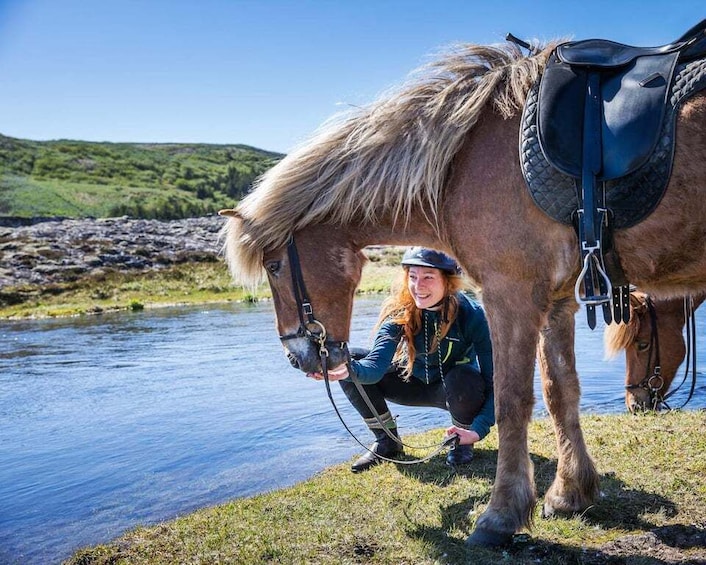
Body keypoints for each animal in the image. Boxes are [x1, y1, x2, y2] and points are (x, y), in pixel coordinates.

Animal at [220, 36, 704, 548]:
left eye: (274, 266)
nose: (298, 357)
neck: (460, 162)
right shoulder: (557, 303)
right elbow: (561, 393)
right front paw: (570, 494)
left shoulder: (510, 295)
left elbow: (511, 402)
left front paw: (500, 516)